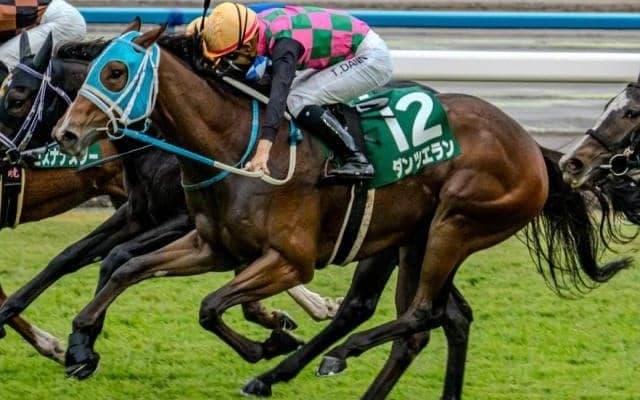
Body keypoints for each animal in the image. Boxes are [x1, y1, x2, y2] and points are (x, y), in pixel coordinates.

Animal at [0, 24, 342, 378]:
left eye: (16, 100)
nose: (2, 155)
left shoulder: (181, 219)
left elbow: (115, 257)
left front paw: (81, 344)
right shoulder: (139, 213)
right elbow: (69, 256)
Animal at [53, 26, 630, 399]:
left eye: (117, 71)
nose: (66, 133)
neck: (236, 145)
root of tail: (533, 147)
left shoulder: (290, 261)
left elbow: (210, 306)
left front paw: (270, 342)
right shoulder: (210, 245)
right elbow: (128, 268)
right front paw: (80, 345)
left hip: (456, 224)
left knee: (419, 314)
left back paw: (330, 357)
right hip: (411, 239)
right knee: (428, 320)